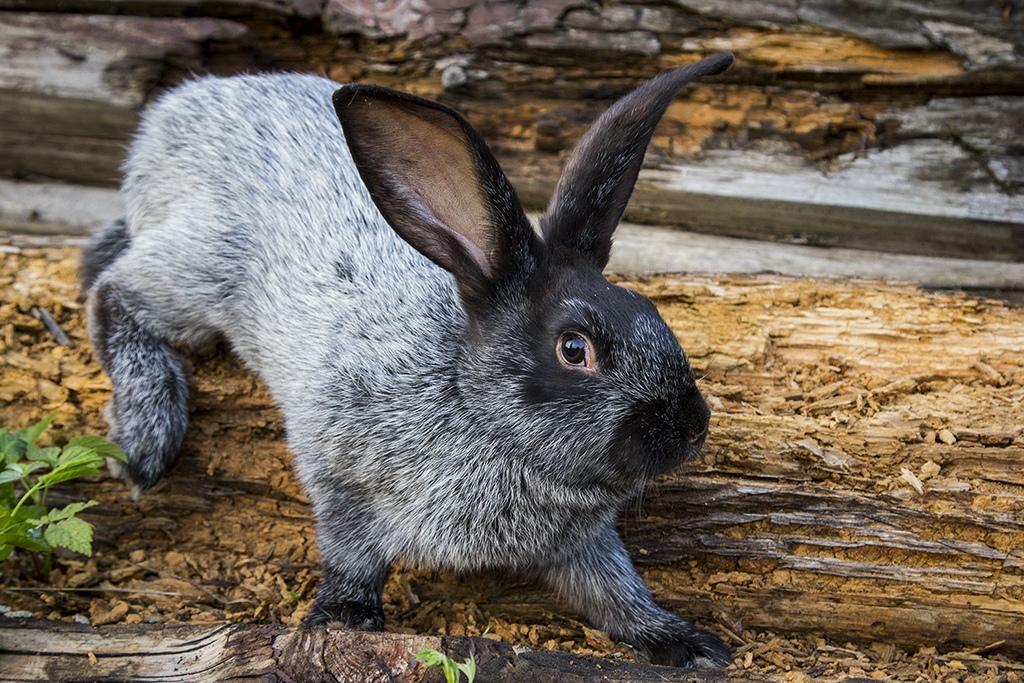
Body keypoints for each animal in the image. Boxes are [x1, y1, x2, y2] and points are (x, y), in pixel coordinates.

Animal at [81, 52, 735, 668]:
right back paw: (144, 440)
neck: (469, 402)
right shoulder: (339, 472)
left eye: (652, 311)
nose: (692, 427)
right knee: (113, 290)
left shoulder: (584, 544)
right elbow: (351, 551)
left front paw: (685, 642)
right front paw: (344, 619)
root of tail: (172, 114)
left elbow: (614, 592)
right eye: (575, 348)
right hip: (204, 271)